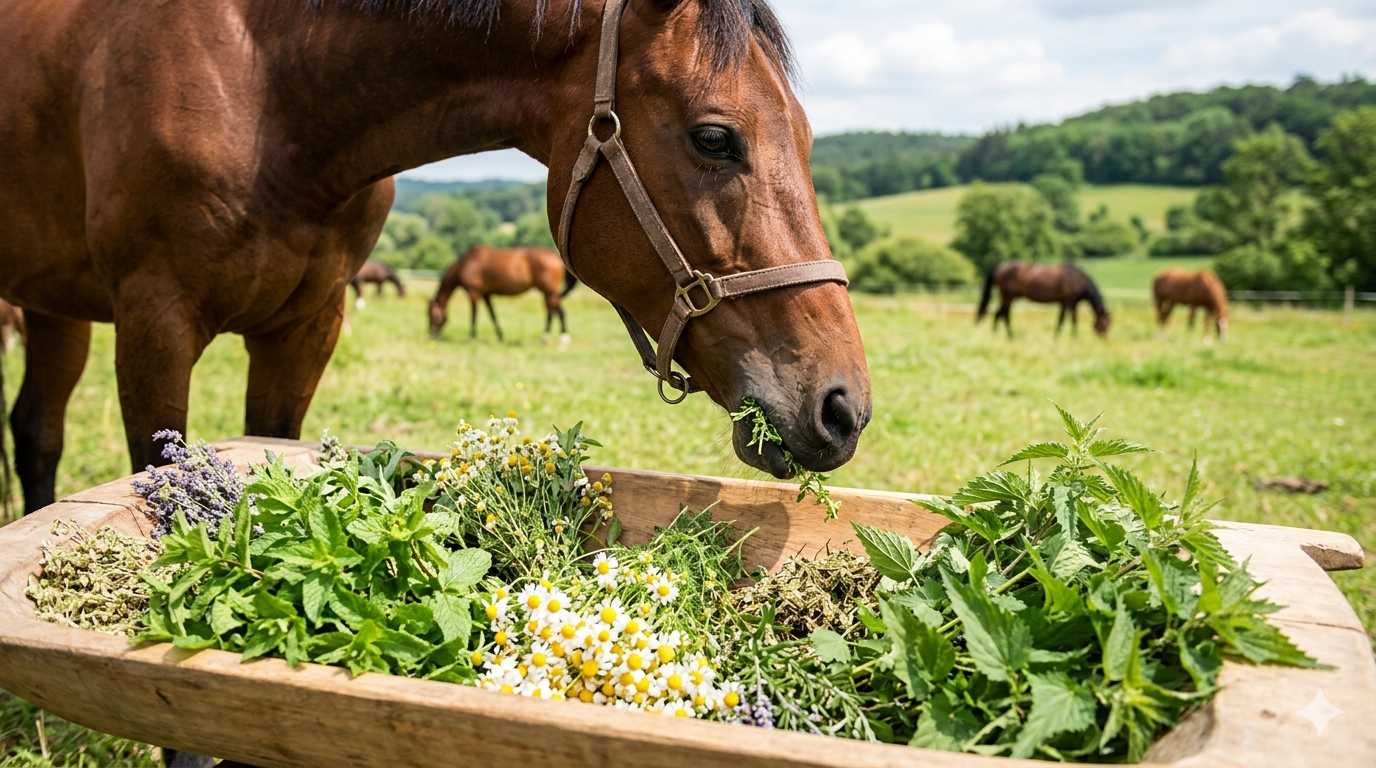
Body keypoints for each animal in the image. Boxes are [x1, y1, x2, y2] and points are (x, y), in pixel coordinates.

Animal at [429, 246, 574, 341]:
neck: (466, 263)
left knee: (557, 312)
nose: (431, 335)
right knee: (554, 311)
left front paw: (472, 336)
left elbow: (473, 315)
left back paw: (555, 338)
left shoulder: (473, 293)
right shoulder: (486, 294)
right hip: (548, 292)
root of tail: (556, 257)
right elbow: (492, 315)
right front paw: (500, 335)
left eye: (432, 316)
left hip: (549, 291)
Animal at [977, 262, 1111, 338]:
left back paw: (1000, 335)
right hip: (1008, 297)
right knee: (1003, 315)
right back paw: (1009, 336)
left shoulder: (1064, 303)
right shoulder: (1070, 302)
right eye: (1105, 324)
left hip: (1008, 298)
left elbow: (1063, 320)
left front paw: (1059, 336)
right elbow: (1071, 320)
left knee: (1000, 314)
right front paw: (1073, 337)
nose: (1104, 339)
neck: (1076, 279)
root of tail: (1000, 267)